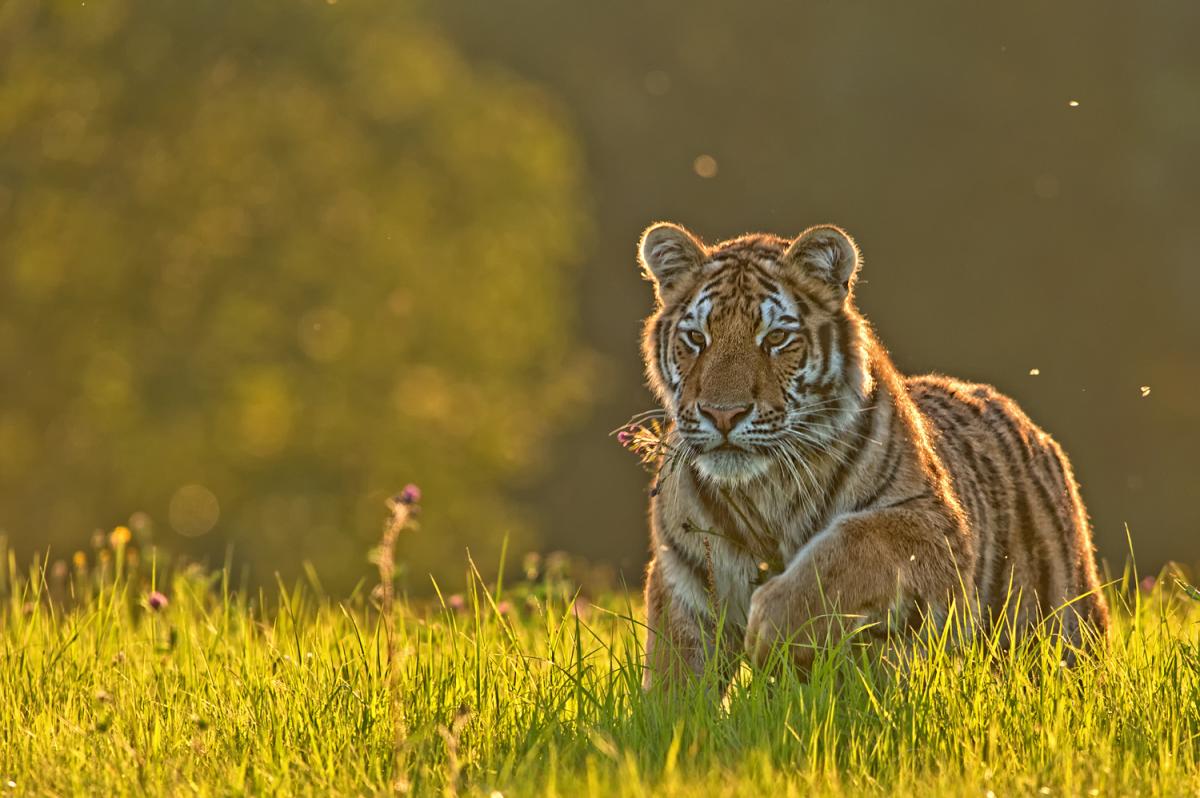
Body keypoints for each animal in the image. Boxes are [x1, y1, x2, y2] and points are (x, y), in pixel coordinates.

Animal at [635, 221, 1110, 690]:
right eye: (696, 338)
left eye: (776, 338)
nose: (723, 414)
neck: (763, 486)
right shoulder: (684, 572)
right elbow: (675, 676)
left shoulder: (935, 524)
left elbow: (851, 547)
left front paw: (769, 632)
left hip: (1066, 628)